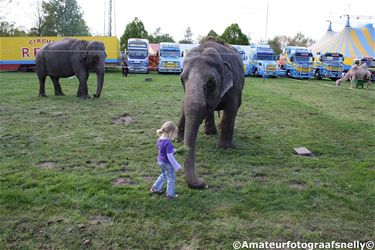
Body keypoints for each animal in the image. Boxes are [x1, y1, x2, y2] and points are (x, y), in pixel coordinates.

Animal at [178, 38, 245, 188]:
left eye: (210, 83)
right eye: (181, 79)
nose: (203, 182)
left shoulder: (235, 85)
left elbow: (232, 108)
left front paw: (225, 148)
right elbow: (186, 106)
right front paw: (178, 140)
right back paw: (209, 132)